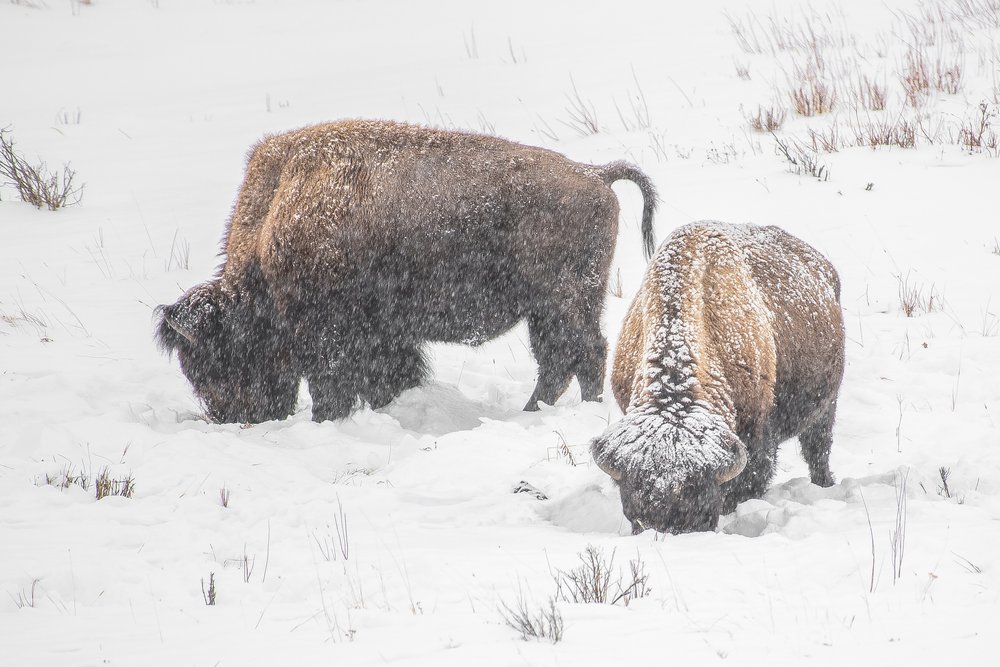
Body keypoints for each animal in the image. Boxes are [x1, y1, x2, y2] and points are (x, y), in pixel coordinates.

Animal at [154, 120, 656, 422]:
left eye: (214, 360)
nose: (235, 417)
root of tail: (594, 174)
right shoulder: (384, 336)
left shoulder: (332, 339)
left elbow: (333, 386)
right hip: (555, 308)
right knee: (567, 358)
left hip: (560, 304)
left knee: (578, 354)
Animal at [588, 222, 848, 536]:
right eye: (633, 515)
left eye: (704, 514)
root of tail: (823, 265)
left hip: (826, 407)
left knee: (818, 449)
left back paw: (825, 484)